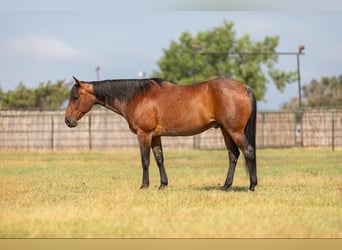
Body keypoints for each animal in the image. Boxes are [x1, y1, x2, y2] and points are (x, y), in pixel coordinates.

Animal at [65, 76, 256, 191]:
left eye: (75, 97)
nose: (68, 121)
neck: (137, 96)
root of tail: (244, 87)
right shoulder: (156, 136)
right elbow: (159, 159)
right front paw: (163, 185)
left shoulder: (144, 134)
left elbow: (145, 160)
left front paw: (144, 186)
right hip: (225, 130)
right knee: (233, 155)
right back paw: (226, 186)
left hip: (234, 131)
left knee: (248, 152)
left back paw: (252, 186)